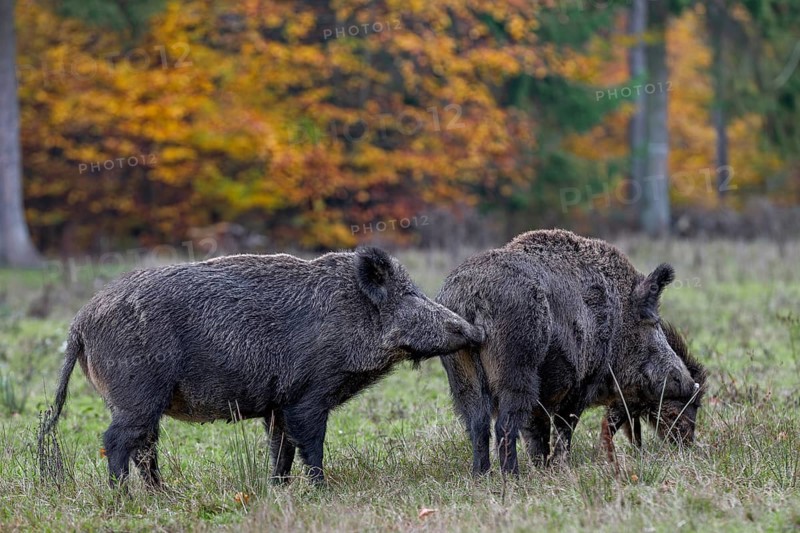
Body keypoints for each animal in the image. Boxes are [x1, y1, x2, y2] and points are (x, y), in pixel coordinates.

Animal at [40, 247, 484, 486]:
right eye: (409, 295)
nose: (474, 331)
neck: (350, 317)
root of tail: (79, 322)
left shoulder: (276, 405)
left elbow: (280, 449)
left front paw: (279, 488)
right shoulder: (308, 394)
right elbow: (311, 444)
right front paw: (321, 490)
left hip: (134, 400)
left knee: (143, 447)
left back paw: (161, 495)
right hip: (136, 392)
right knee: (116, 441)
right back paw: (124, 498)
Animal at [600, 321, 707, 462]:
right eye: (675, 414)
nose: (688, 447)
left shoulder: (632, 408)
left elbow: (635, 432)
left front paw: (639, 454)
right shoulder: (620, 404)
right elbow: (612, 427)